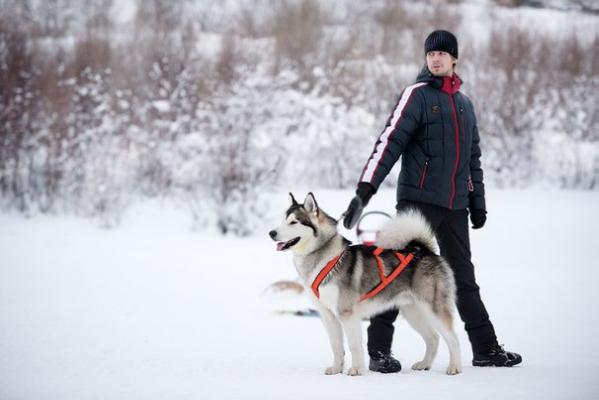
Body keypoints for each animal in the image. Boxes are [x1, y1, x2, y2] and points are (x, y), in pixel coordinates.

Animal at [270, 192, 462, 376]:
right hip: (413, 312)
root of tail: (424, 250)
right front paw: (336, 369)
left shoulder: (347, 314)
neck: (323, 257)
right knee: (433, 338)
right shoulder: (328, 315)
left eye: (293, 222)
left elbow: (354, 345)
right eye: (283, 220)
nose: (271, 233)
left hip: (433, 309)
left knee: (453, 338)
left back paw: (455, 367)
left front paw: (356, 369)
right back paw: (425, 364)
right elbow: (336, 346)